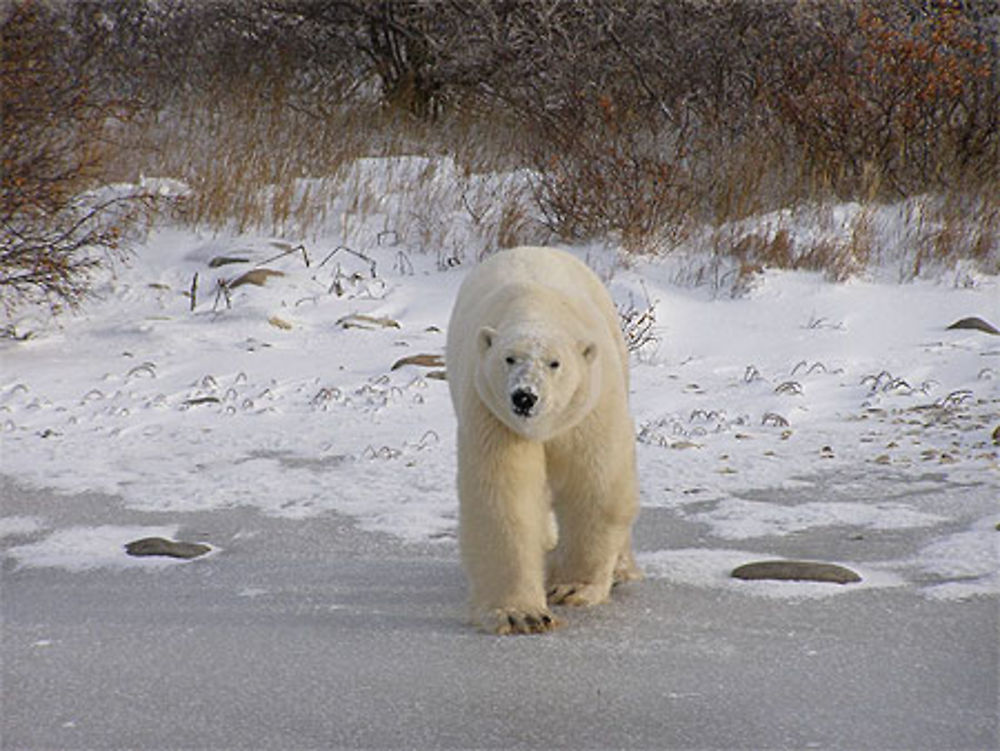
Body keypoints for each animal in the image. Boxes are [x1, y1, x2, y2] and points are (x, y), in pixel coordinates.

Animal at [448, 247, 640, 636]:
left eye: (555, 363)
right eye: (509, 358)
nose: (525, 397)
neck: (536, 306)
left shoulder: (589, 407)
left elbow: (594, 484)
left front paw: (572, 587)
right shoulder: (492, 415)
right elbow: (505, 496)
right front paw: (520, 614)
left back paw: (622, 569)